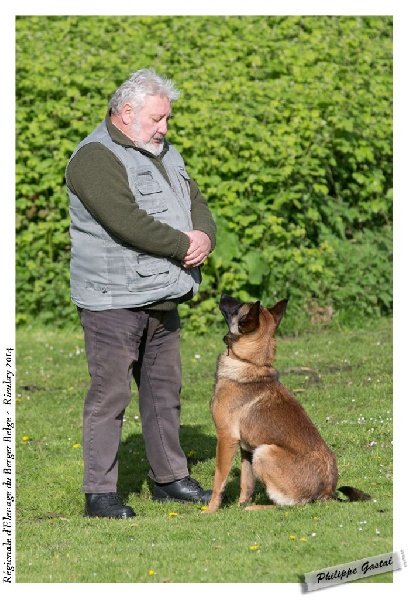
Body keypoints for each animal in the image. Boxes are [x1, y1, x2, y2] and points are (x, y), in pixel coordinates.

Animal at [207, 296, 370, 510]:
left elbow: (219, 480)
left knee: (286, 505)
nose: (223, 296)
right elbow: (246, 483)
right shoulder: (246, 449)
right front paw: (240, 504)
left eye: (238, 305)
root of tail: (327, 492)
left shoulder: (226, 439)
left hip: (264, 452)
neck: (249, 362)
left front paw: (210, 510)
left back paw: (256, 508)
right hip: (258, 452)